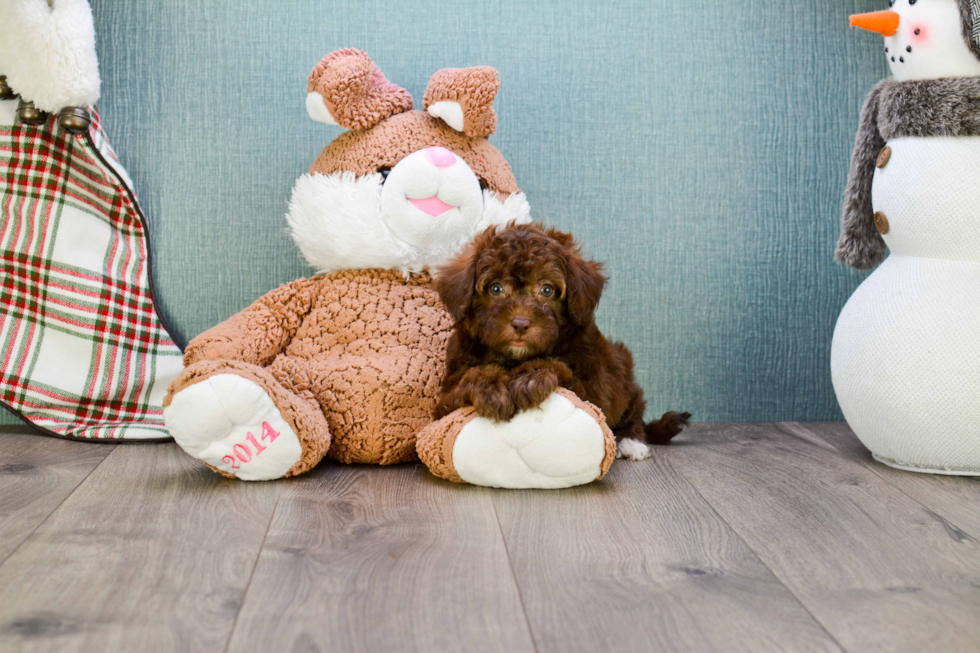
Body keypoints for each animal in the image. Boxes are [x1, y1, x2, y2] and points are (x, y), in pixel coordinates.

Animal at [436, 222, 688, 456]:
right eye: (495, 288)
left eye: (547, 290)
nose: (520, 323)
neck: (516, 357)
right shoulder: (443, 401)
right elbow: (468, 378)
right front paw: (490, 387)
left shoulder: (595, 391)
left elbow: (562, 370)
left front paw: (532, 375)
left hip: (622, 372)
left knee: (633, 411)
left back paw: (632, 443)